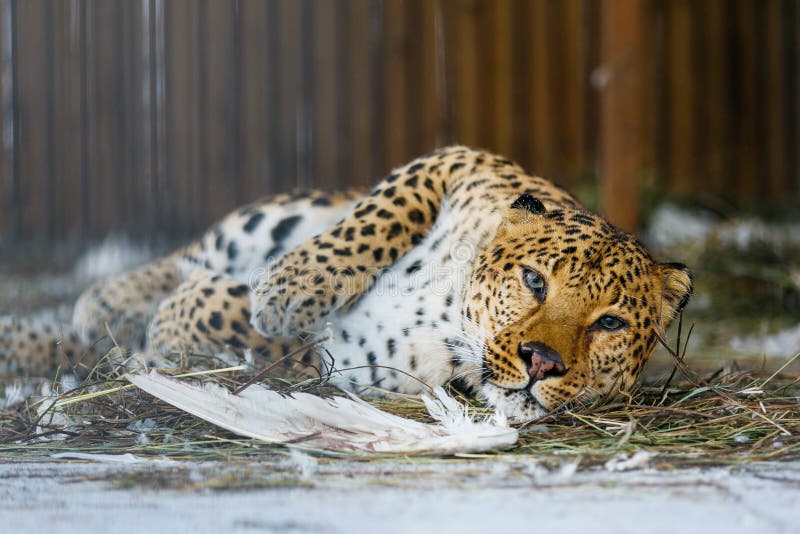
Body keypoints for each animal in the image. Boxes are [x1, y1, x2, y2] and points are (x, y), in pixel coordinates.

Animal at [0, 148, 692, 422]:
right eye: (533, 281)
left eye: (609, 323)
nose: (541, 361)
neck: (453, 317)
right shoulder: (459, 162)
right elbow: (378, 216)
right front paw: (290, 285)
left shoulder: (340, 361)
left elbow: (236, 318)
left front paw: (187, 318)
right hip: (272, 217)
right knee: (185, 258)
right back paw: (105, 301)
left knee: (107, 346)